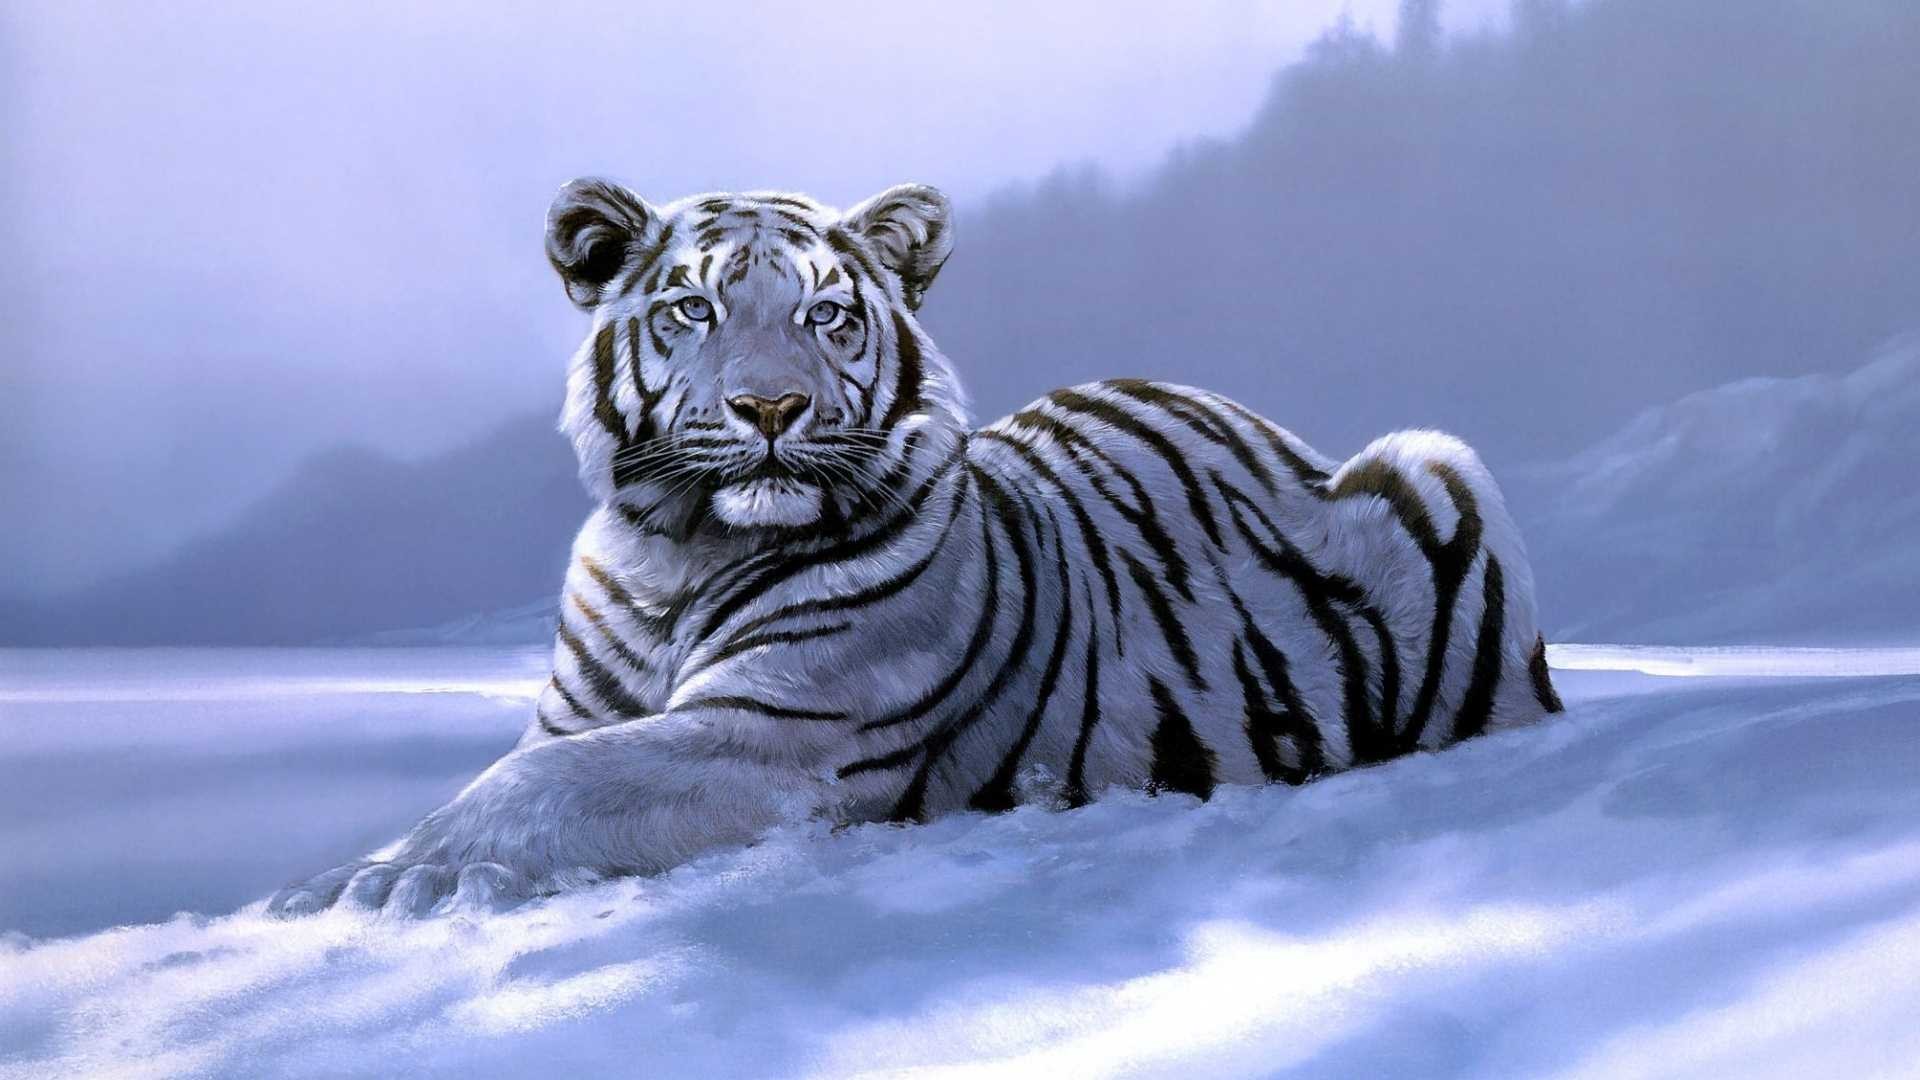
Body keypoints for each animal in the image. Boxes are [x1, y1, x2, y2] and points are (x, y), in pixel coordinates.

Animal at [269, 178, 1563, 917]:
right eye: (692, 309)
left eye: (826, 313)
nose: (771, 408)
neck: (675, 553)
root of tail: (1270, 426)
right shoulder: (582, 710)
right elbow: (524, 766)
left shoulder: (775, 732)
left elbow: (540, 785)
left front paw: (379, 879)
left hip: (1440, 464)